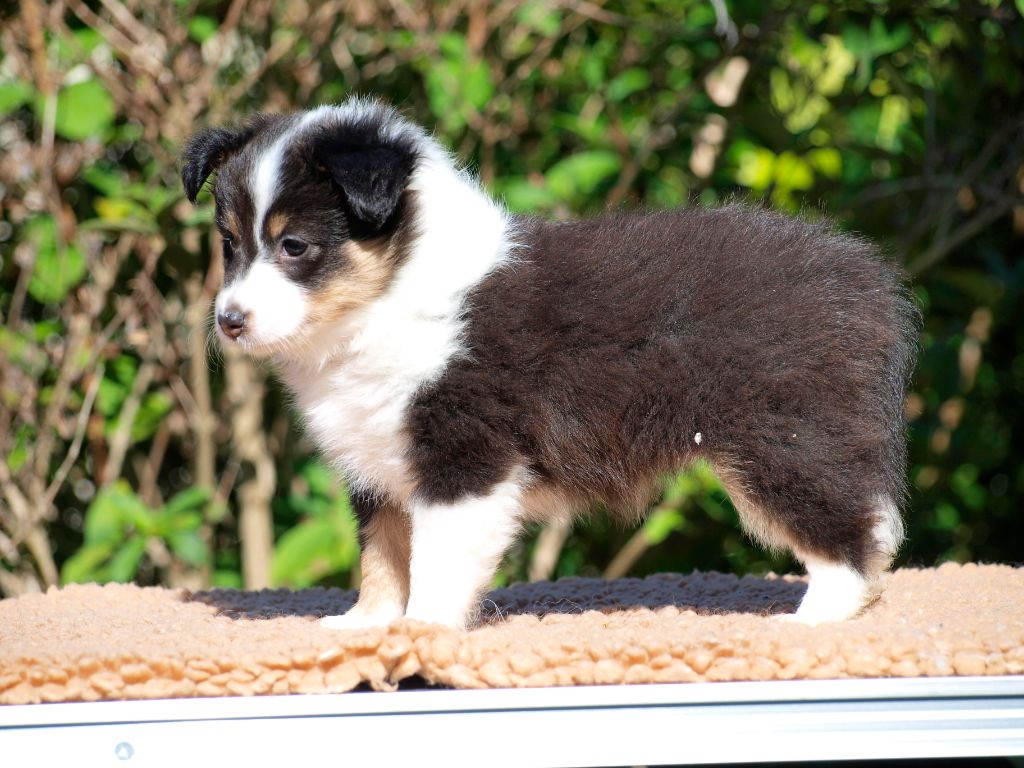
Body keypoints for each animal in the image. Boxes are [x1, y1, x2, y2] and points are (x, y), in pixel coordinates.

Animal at [181, 99, 918, 630]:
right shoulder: (378, 460)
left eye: (295, 246)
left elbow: (437, 558)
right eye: (229, 245)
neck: (385, 299)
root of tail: (864, 278)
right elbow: (383, 555)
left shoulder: (464, 454)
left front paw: (421, 632)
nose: (230, 322)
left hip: (779, 437)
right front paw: (366, 628)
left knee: (847, 527)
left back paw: (815, 616)